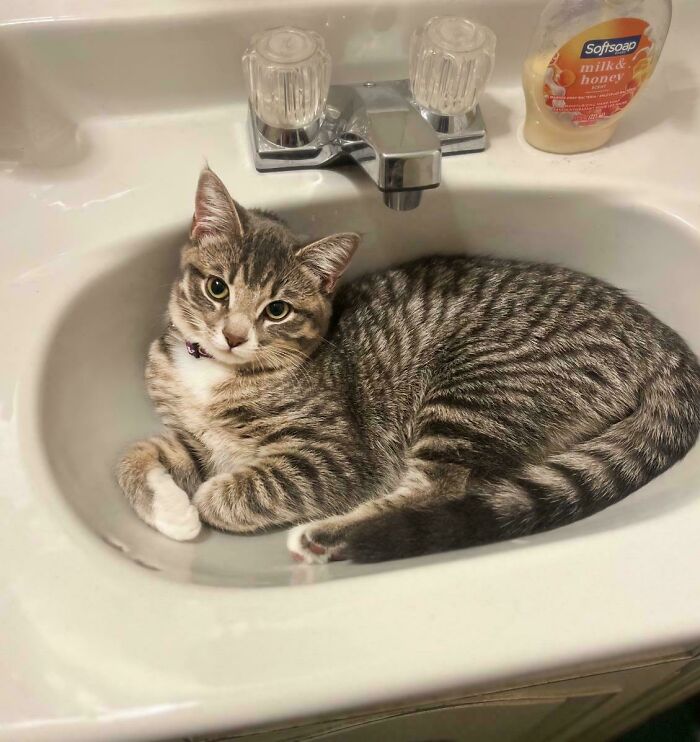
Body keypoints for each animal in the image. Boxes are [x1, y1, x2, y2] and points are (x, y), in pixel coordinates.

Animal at [117, 169, 700, 564]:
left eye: (276, 310)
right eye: (218, 288)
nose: (234, 336)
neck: (214, 374)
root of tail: (659, 335)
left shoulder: (333, 456)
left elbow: (247, 487)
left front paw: (207, 499)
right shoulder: (195, 435)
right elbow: (140, 454)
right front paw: (171, 509)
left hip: (475, 389)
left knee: (442, 488)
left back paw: (328, 535)